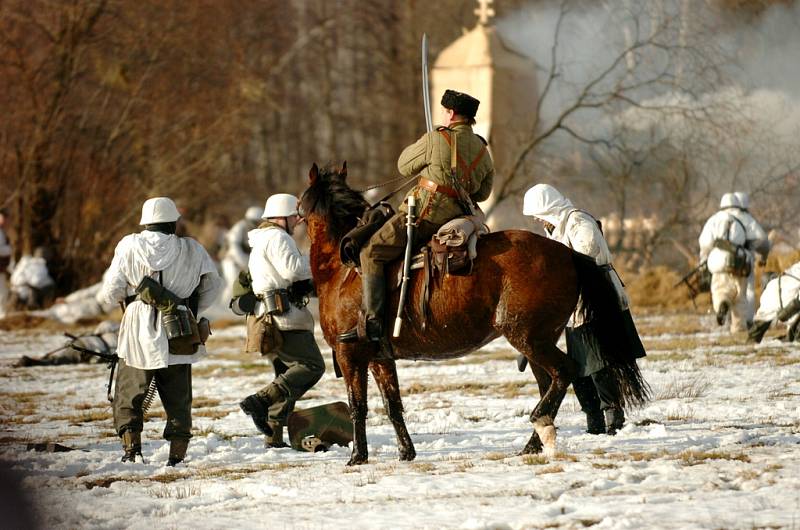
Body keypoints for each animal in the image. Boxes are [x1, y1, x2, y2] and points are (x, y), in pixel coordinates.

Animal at [296, 163, 648, 464]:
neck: (342, 270)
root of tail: (569, 253)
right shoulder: (380, 358)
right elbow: (392, 405)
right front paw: (406, 452)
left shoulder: (350, 354)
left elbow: (358, 405)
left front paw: (357, 457)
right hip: (537, 341)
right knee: (550, 381)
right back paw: (532, 443)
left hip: (527, 338)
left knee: (565, 371)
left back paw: (540, 424)